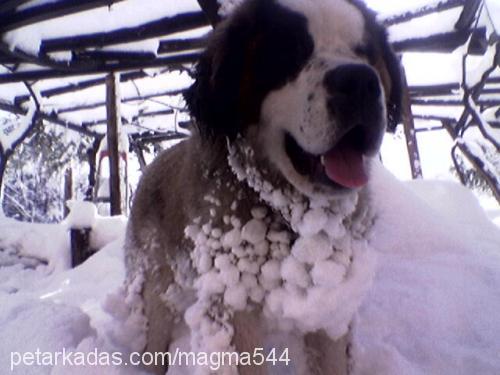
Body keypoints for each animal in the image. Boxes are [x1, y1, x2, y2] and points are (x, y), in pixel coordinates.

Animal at [125, 0, 402, 375]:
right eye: (291, 51)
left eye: (366, 52)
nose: (359, 81)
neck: (290, 214)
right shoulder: (232, 305)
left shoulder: (330, 306)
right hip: (156, 286)